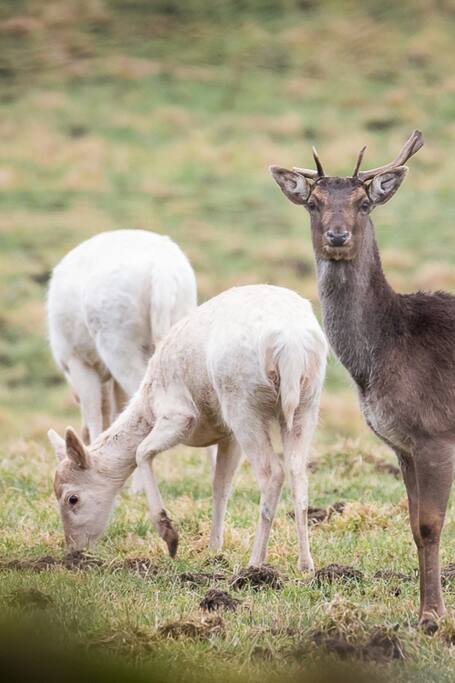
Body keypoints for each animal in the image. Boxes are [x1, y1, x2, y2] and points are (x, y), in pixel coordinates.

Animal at [48, 285, 327, 571]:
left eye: (72, 498)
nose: (74, 550)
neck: (146, 406)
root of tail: (291, 346)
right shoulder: (228, 435)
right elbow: (220, 485)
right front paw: (214, 550)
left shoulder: (179, 415)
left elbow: (141, 452)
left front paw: (170, 537)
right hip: (307, 400)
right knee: (298, 472)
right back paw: (306, 564)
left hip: (242, 403)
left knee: (272, 472)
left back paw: (255, 563)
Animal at [270, 130, 455, 631]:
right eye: (313, 203)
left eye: (365, 203)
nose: (338, 235)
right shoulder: (402, 445)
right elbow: (413, 525)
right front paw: (422, 612)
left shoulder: (436, 434)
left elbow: (430, 524)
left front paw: (433, 617)